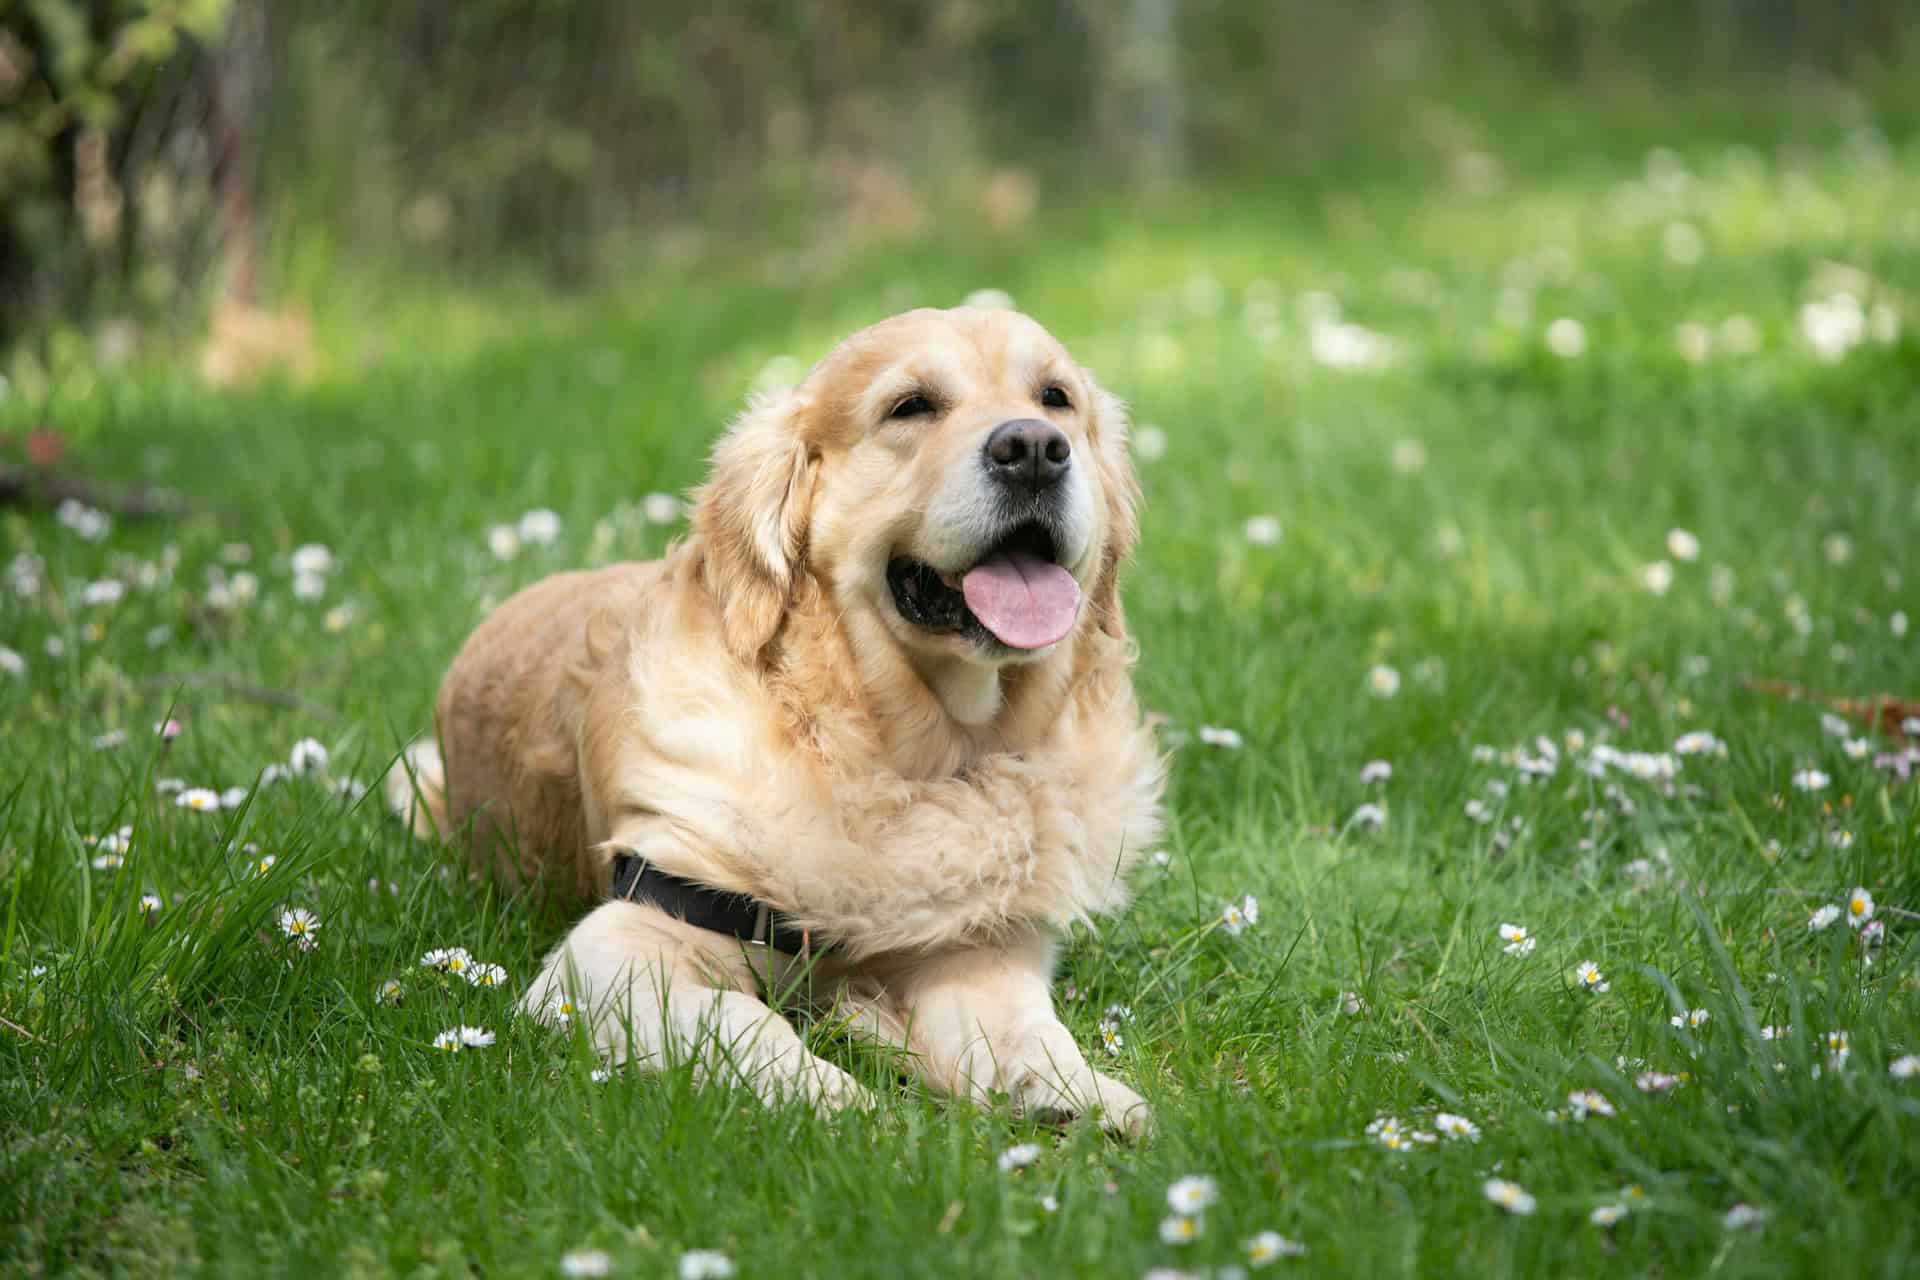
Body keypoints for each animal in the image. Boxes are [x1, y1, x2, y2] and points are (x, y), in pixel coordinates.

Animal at [384, 305, 1159, 1136]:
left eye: (1056, 398)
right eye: (911, 406)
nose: (1035, 451)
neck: (903, 757)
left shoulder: (975, 946)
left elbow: (1022, 1026)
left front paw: (1077, 1090)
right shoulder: (615, 947)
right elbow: (739, 1019)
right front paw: (843, 1100)